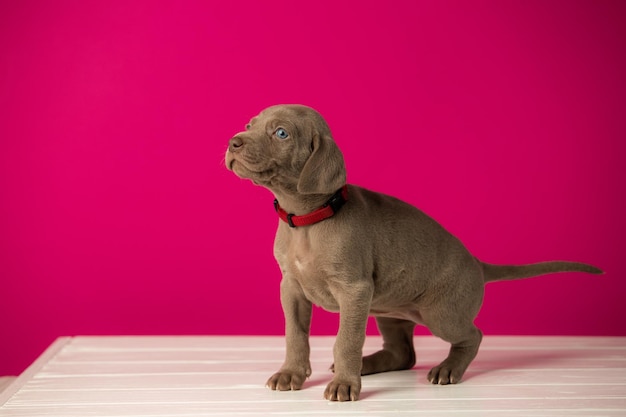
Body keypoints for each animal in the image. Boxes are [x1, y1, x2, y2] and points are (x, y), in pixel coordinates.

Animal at [223, 103, 600, 400]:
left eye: (281, 133)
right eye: (249, 125)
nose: (233, 142)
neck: (307, 221)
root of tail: (477, 263)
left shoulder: (354, 291)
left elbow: (346, 339)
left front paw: (345, 383)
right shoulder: (291, 289)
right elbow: (295, 335)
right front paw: (291, 373)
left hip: (441, 313)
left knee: (472, 335)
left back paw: (448, 369)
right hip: (388, 311)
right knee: (403, 353)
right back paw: (371, 364)